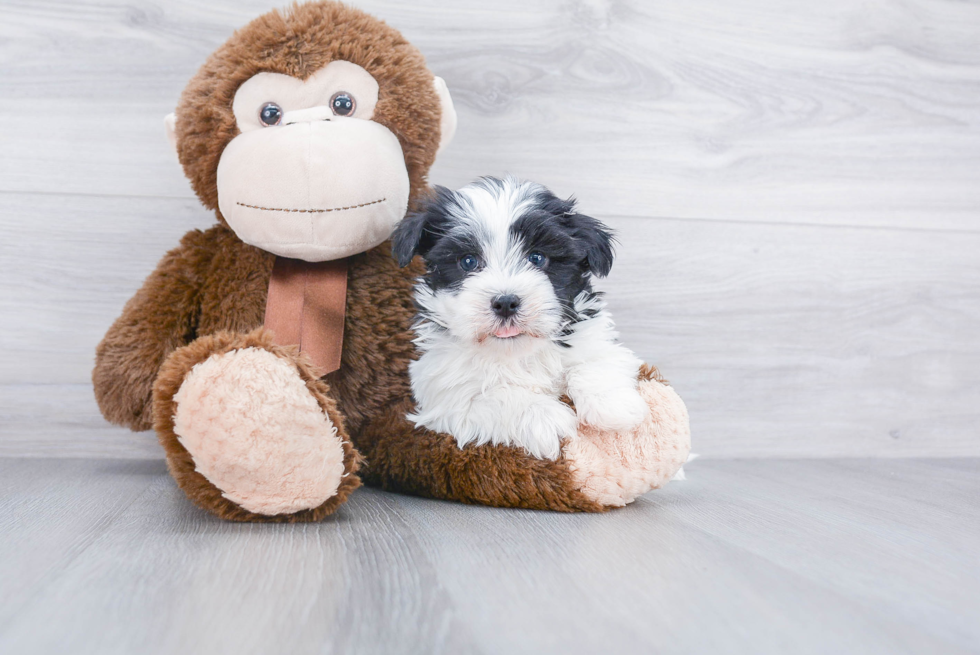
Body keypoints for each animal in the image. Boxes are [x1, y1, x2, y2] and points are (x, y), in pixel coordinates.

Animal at [390, 177, 652, 458]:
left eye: (537, 258)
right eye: (468, 261)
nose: (505, 302)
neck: (515, 351)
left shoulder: (594, 336)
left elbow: (596, 360)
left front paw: (613, 405)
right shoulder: (444, 397)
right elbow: (496, 397)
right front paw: (547, 418)